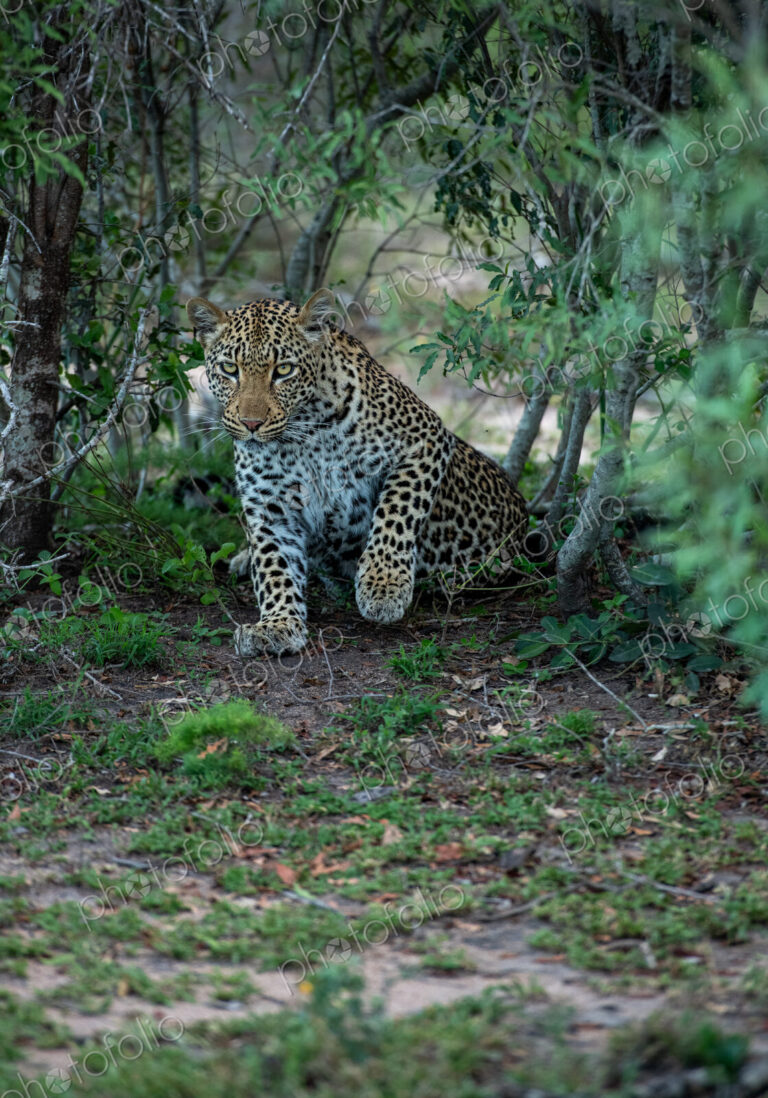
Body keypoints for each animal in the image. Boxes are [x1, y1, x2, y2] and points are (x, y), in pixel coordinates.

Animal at [186, 289, 529, 657]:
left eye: (284, 370)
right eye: (229, 369)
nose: (251, 424)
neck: (301, 436)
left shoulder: (425, 439)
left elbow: (396, 513)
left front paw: (384, 586)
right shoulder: (270, 506)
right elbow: (273, 566)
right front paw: (276, 624)